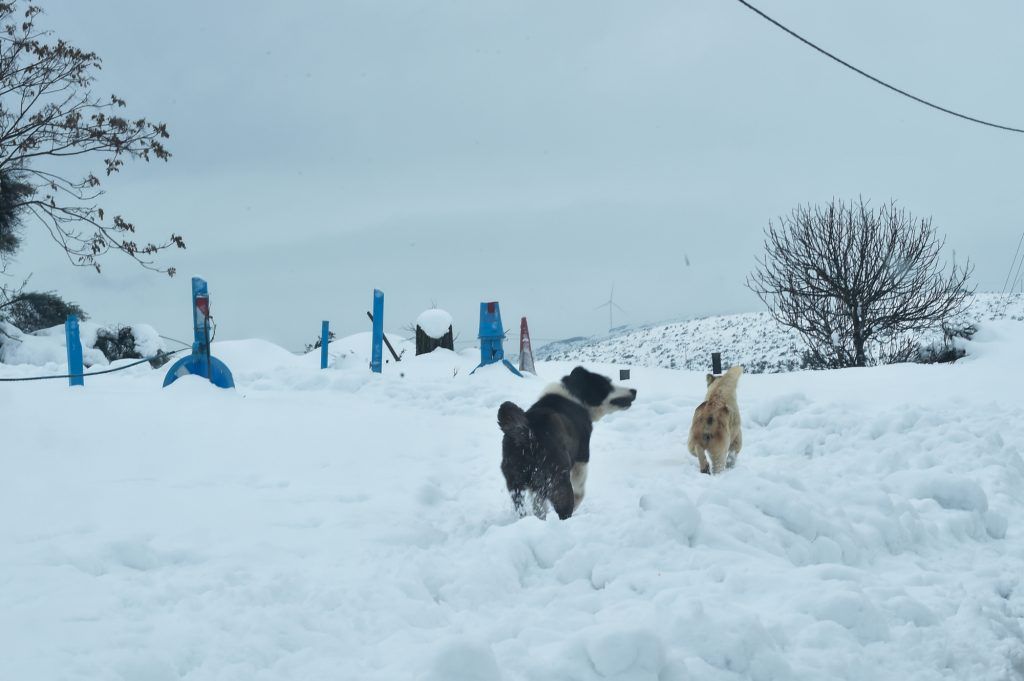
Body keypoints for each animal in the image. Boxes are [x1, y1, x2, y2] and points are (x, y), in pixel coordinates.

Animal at [493, 368, 630, 518]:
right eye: (607, 383)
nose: (633, 391)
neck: (574, 394)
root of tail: (528, 434)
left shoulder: (536, 488)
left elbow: (539, 505)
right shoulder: (582, 459)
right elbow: (580, 491)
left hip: (516, 483)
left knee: (523, 508)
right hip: (559, 482)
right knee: (564, 509)